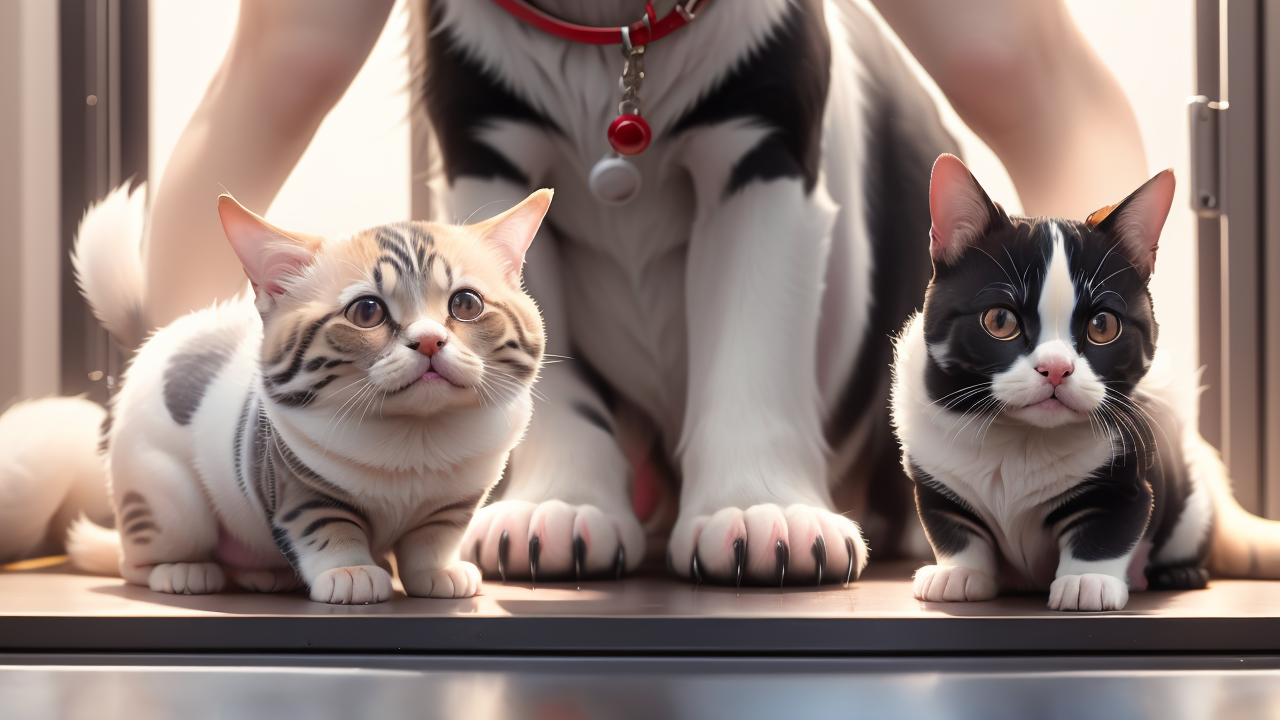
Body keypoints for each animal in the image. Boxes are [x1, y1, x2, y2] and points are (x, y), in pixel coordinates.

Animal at [68, 183, 550, 599]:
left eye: (466, 304)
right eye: (367, 312)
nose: (430, 340)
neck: (417, 440)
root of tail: (160, 335)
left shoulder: (457, 502)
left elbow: (434, 537)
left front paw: (438, 571)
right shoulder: (295, 485)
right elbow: (329, 529)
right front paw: (351, 571)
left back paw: (267, 574)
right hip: (167, 502)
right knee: (137, 559)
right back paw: (182, 570)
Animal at [890, 154, 1280, 607]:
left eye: (1102, 326)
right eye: (1000, 320)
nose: (1057, 368)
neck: (1021, 441)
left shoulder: (1124, 481)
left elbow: (1106, 530)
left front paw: (1086, 581)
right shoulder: (933, 475)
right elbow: (953, 526)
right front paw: (959, 573)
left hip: (1192, 505)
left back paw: (1174, 572)